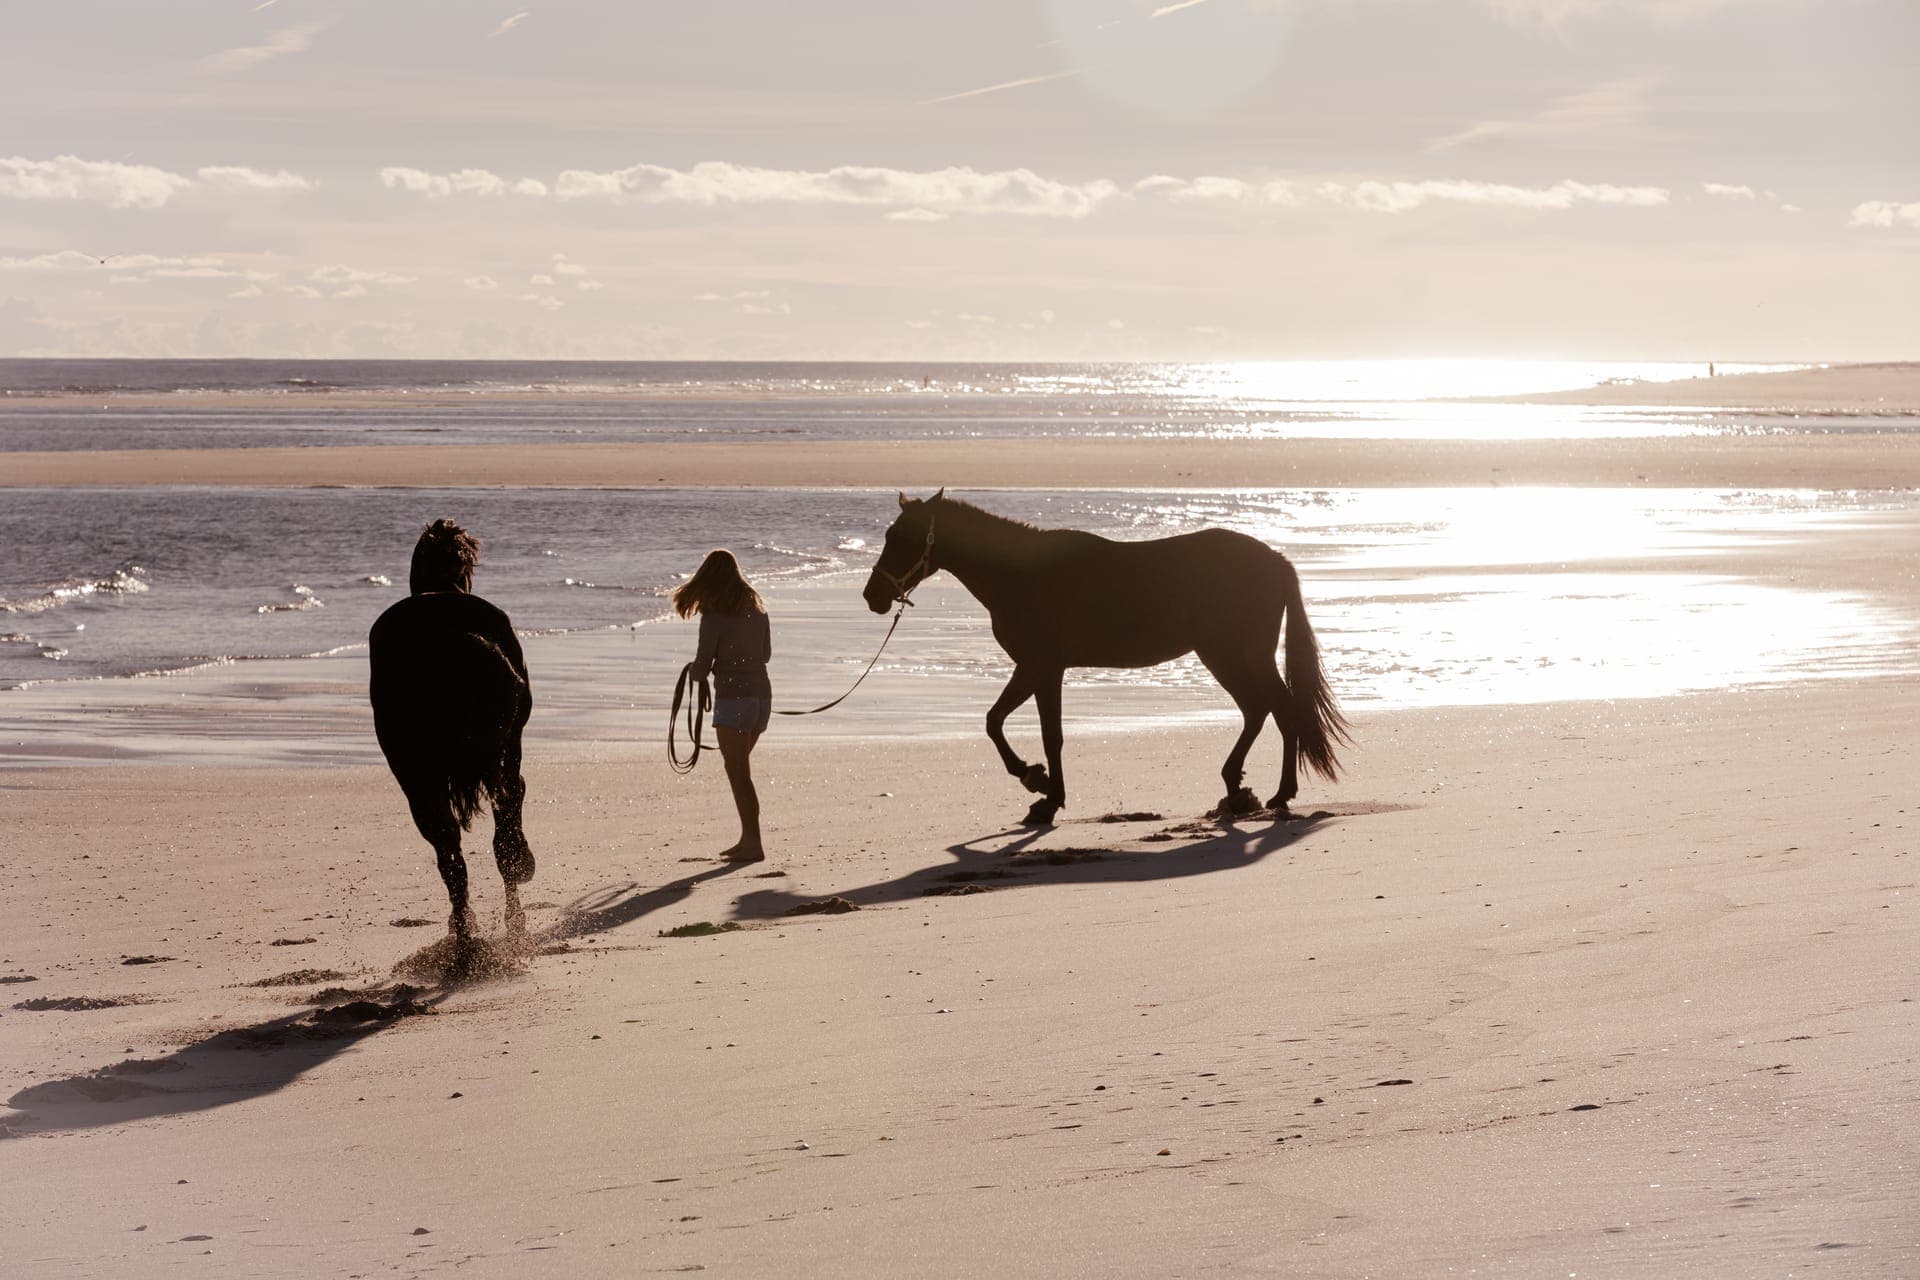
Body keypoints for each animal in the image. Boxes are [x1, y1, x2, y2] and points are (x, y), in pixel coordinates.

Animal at [862, 491, 1349, 825]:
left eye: (903, 538)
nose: (873, 596)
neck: (1023, 575)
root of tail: (1275, 559)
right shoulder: (1041, 669)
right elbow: (1021, 727)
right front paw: (1044, 790)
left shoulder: (1040, 666)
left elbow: (1019, 728)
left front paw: (1039, 786)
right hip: (1223, 655)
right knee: (1260, 709)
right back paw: (1239, 789)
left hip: (1235, 653)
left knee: (1279, 709)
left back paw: (1278, 793)